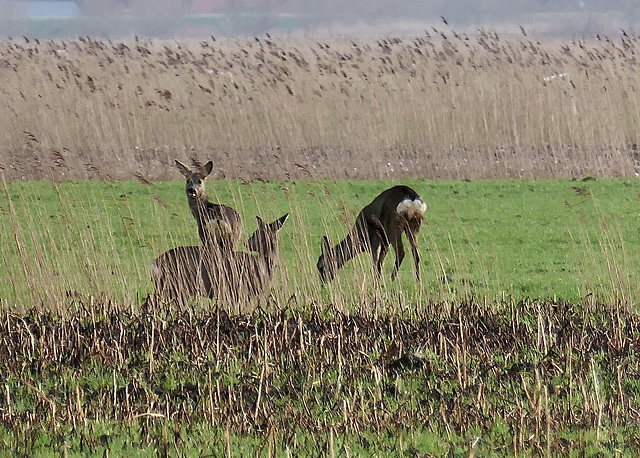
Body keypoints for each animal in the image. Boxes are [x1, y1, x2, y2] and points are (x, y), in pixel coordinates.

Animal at [146, 214, 288, 308]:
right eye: (256, 232)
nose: (247, 243)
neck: (263, 266)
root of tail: (154, 264)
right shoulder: (238, 291)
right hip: (173, 286)